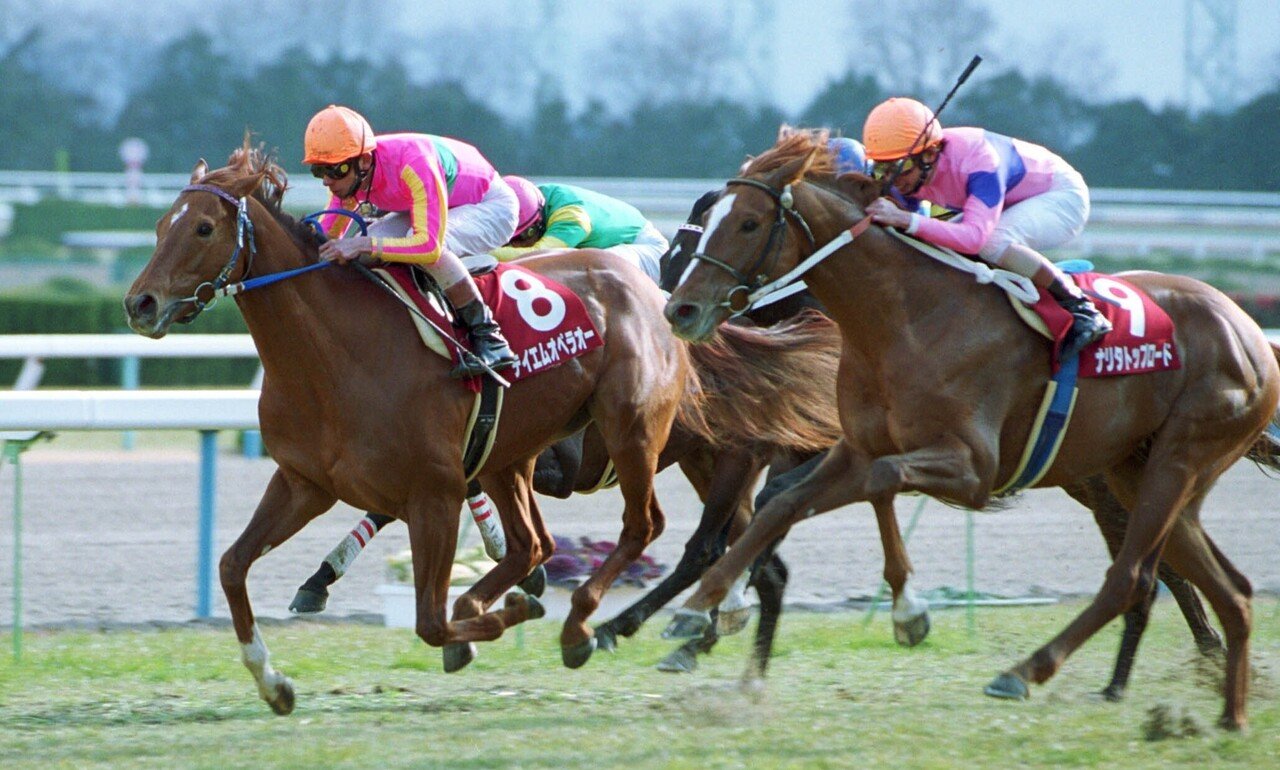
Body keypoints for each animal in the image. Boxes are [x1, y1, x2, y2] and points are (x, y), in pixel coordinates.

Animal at [660, 130, 1280, 726]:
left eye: (748, 221)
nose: (678, 310)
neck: (905, 315)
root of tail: (1249, 329)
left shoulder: (972, 469)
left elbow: (879, 481)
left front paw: (906, 611)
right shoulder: (855, 446)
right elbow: (785, 503)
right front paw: (697, 612)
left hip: (1175, 461)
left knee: (1133, 578)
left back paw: (1029, 673)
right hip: (1137, 473)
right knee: (1228, 589)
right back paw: (1227, 713)